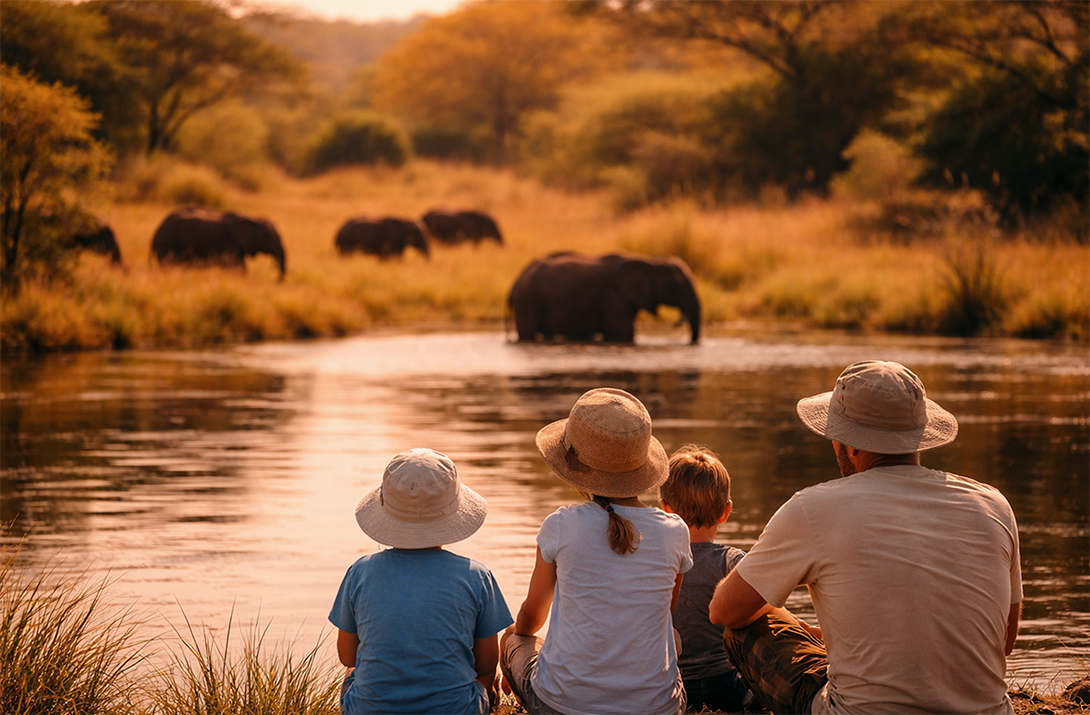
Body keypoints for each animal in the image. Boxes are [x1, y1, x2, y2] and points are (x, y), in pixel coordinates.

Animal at [151, 207, 286, 279]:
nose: (277, 280)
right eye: (267, 237)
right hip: (167, 245)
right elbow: (237, 267)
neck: (252, 219)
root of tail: (157, 230)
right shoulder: (231, 245)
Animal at [508, 251, 701, 344]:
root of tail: (516, 282)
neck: (650, 261)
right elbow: (622, 335)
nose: (677, 324)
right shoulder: (615, 296)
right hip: (526, 300)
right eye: (674, 286)